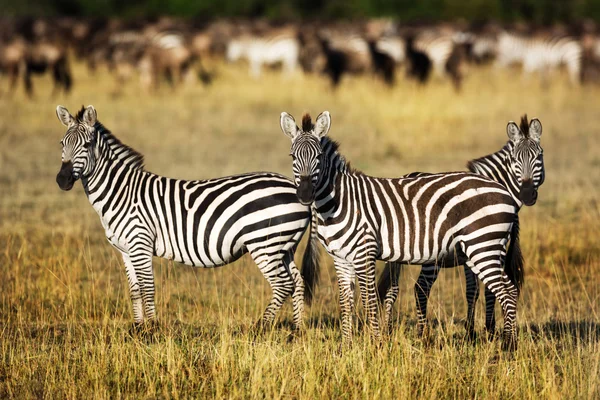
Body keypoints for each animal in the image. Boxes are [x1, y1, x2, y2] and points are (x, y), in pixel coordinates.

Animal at [55, 104, 318, 330]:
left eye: (87, 144)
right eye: (62, 143)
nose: (62, 180)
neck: (121, 191)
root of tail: (297, 190)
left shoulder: (140, 243)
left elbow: (148, 287)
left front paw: (152, 330)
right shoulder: (125, 250)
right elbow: (135, 290)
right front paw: (138, 328)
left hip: (265, 244)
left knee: (283, 285)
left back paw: (259, 328)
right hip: (283, 246)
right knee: (297, 282)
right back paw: (296, 330)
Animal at [280, 111, 520, 350]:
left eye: (319, 157)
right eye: (292, 156)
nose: (304, 194)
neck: (339, 201)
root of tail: (504, 191)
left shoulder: (364, 252)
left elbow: (369, 299)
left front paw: (375, 343)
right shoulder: (341, 258)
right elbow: (346, 301)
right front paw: (346, 346)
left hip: (483, 246)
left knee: (507, 292)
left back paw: (508, 346)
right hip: (485, 249)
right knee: (509, 290)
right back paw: (508, 340)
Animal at [380, 115, 544, 338]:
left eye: (538, 157)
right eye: (514, 160)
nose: (527, 194)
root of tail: (407, 176)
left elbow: (477, 290)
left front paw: (478, 329)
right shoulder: (482, 248)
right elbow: (477, 290)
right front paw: (482, 331)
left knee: (392, 288)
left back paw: (386, 331)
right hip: (432, 256)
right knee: (421, 288)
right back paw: (420, 333)